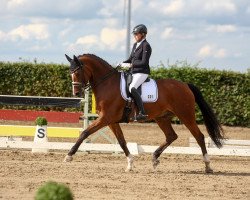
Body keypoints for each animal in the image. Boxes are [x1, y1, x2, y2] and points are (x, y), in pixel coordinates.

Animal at [63, 54, 224, 173]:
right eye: (70, 73)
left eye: (77, 72)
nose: (76, 93)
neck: (107, 83)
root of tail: (185, 85)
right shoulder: (112, 121)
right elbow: (121, 141)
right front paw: (130, 164)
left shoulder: (105, 118)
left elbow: (85, 133)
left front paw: (69, 156)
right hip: (162, 118)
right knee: (171, 136)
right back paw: (154, 158)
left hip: (186, 115)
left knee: (199, 137)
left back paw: (208, 166)